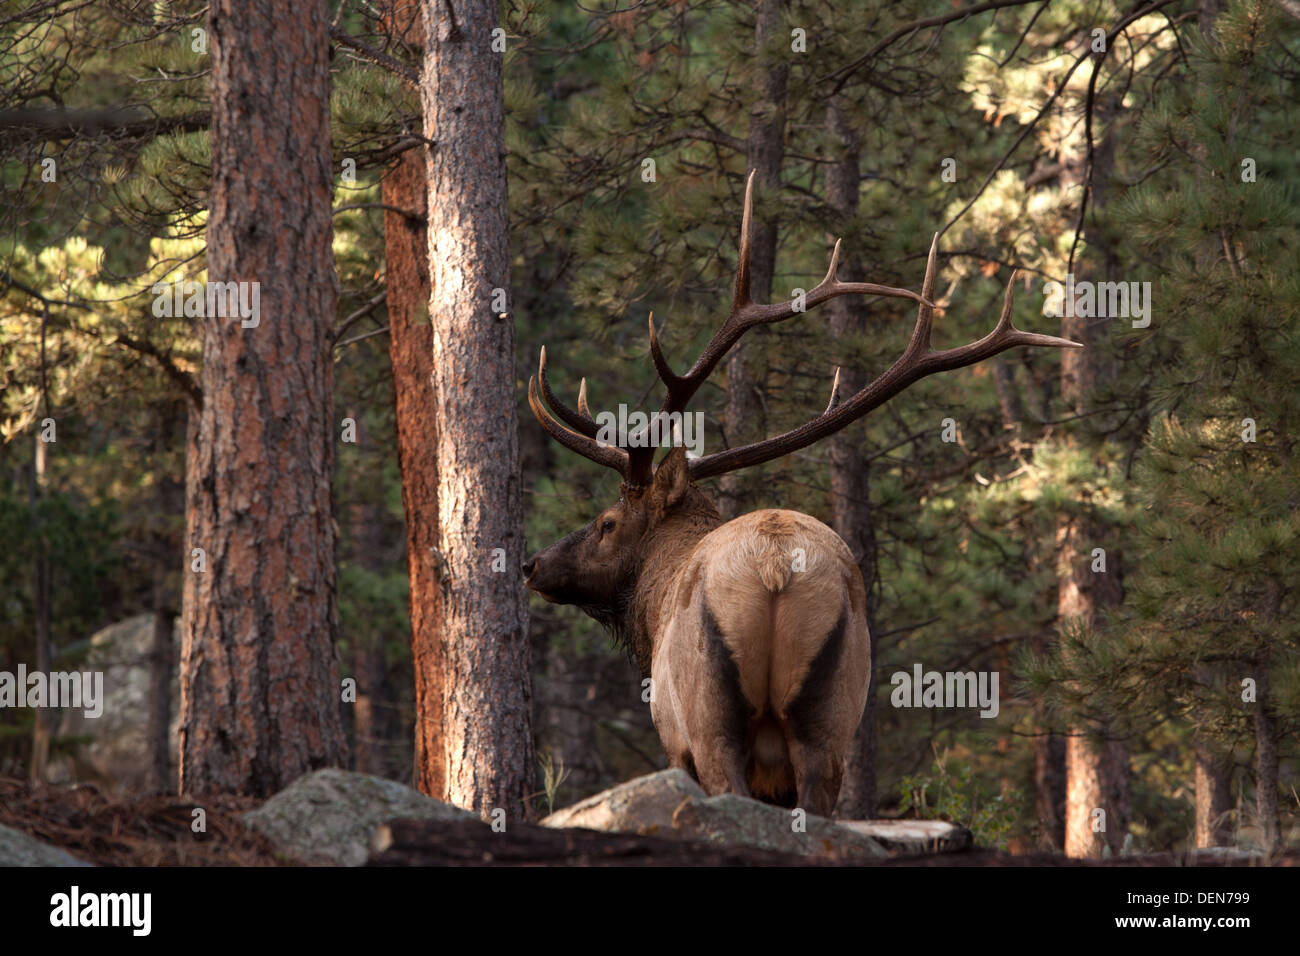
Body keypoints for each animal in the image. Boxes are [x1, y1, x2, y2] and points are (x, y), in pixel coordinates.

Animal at [517, 170, 1076, 816]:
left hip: (712, 723)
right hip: (830, 721)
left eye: (608, 521)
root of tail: (776, 568)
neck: (652, 607)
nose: (532, 564)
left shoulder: (673, 739)